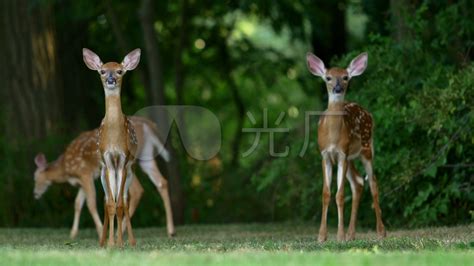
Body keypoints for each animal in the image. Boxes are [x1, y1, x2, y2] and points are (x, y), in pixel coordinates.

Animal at [32, 116, 176, 239]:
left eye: (35, 178)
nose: (35, 194)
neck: (66, 169)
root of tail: (148, 125)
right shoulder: (82, 181)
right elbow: (78, 203)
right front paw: (73, 234)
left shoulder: (85, 173)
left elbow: (90, 203)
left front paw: (101, 231)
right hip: (146, 156)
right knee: (161, 182)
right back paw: (171, 231)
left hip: (126, 161)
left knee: (137, 190)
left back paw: (120, 232)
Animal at [81, 47, 143, 247]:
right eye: (102, 71)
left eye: (120, 71)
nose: (110, 80)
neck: (114, 138)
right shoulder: (107, 160)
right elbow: (110, 205)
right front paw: (109, 244)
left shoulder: (123, 159)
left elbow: (120, 205)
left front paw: (119, 244)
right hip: (103, 173)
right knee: (107, 199)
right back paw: (103, 241)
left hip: (129, 172)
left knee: (124, 199)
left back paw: (130, 241)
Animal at [308, 51, 386, 242]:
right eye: (328, 77)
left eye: (345, 77)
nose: (337, 88)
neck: (333, 136)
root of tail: (367, 113)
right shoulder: (326, 154)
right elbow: (326, 193)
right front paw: (322, 236)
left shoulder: (342, 154)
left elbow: (340, 194)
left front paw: (340, 235)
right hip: (351, 157)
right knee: (358, 183)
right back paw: (352, 234)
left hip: (366, 148)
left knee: (373, 183)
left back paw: (381, 231)